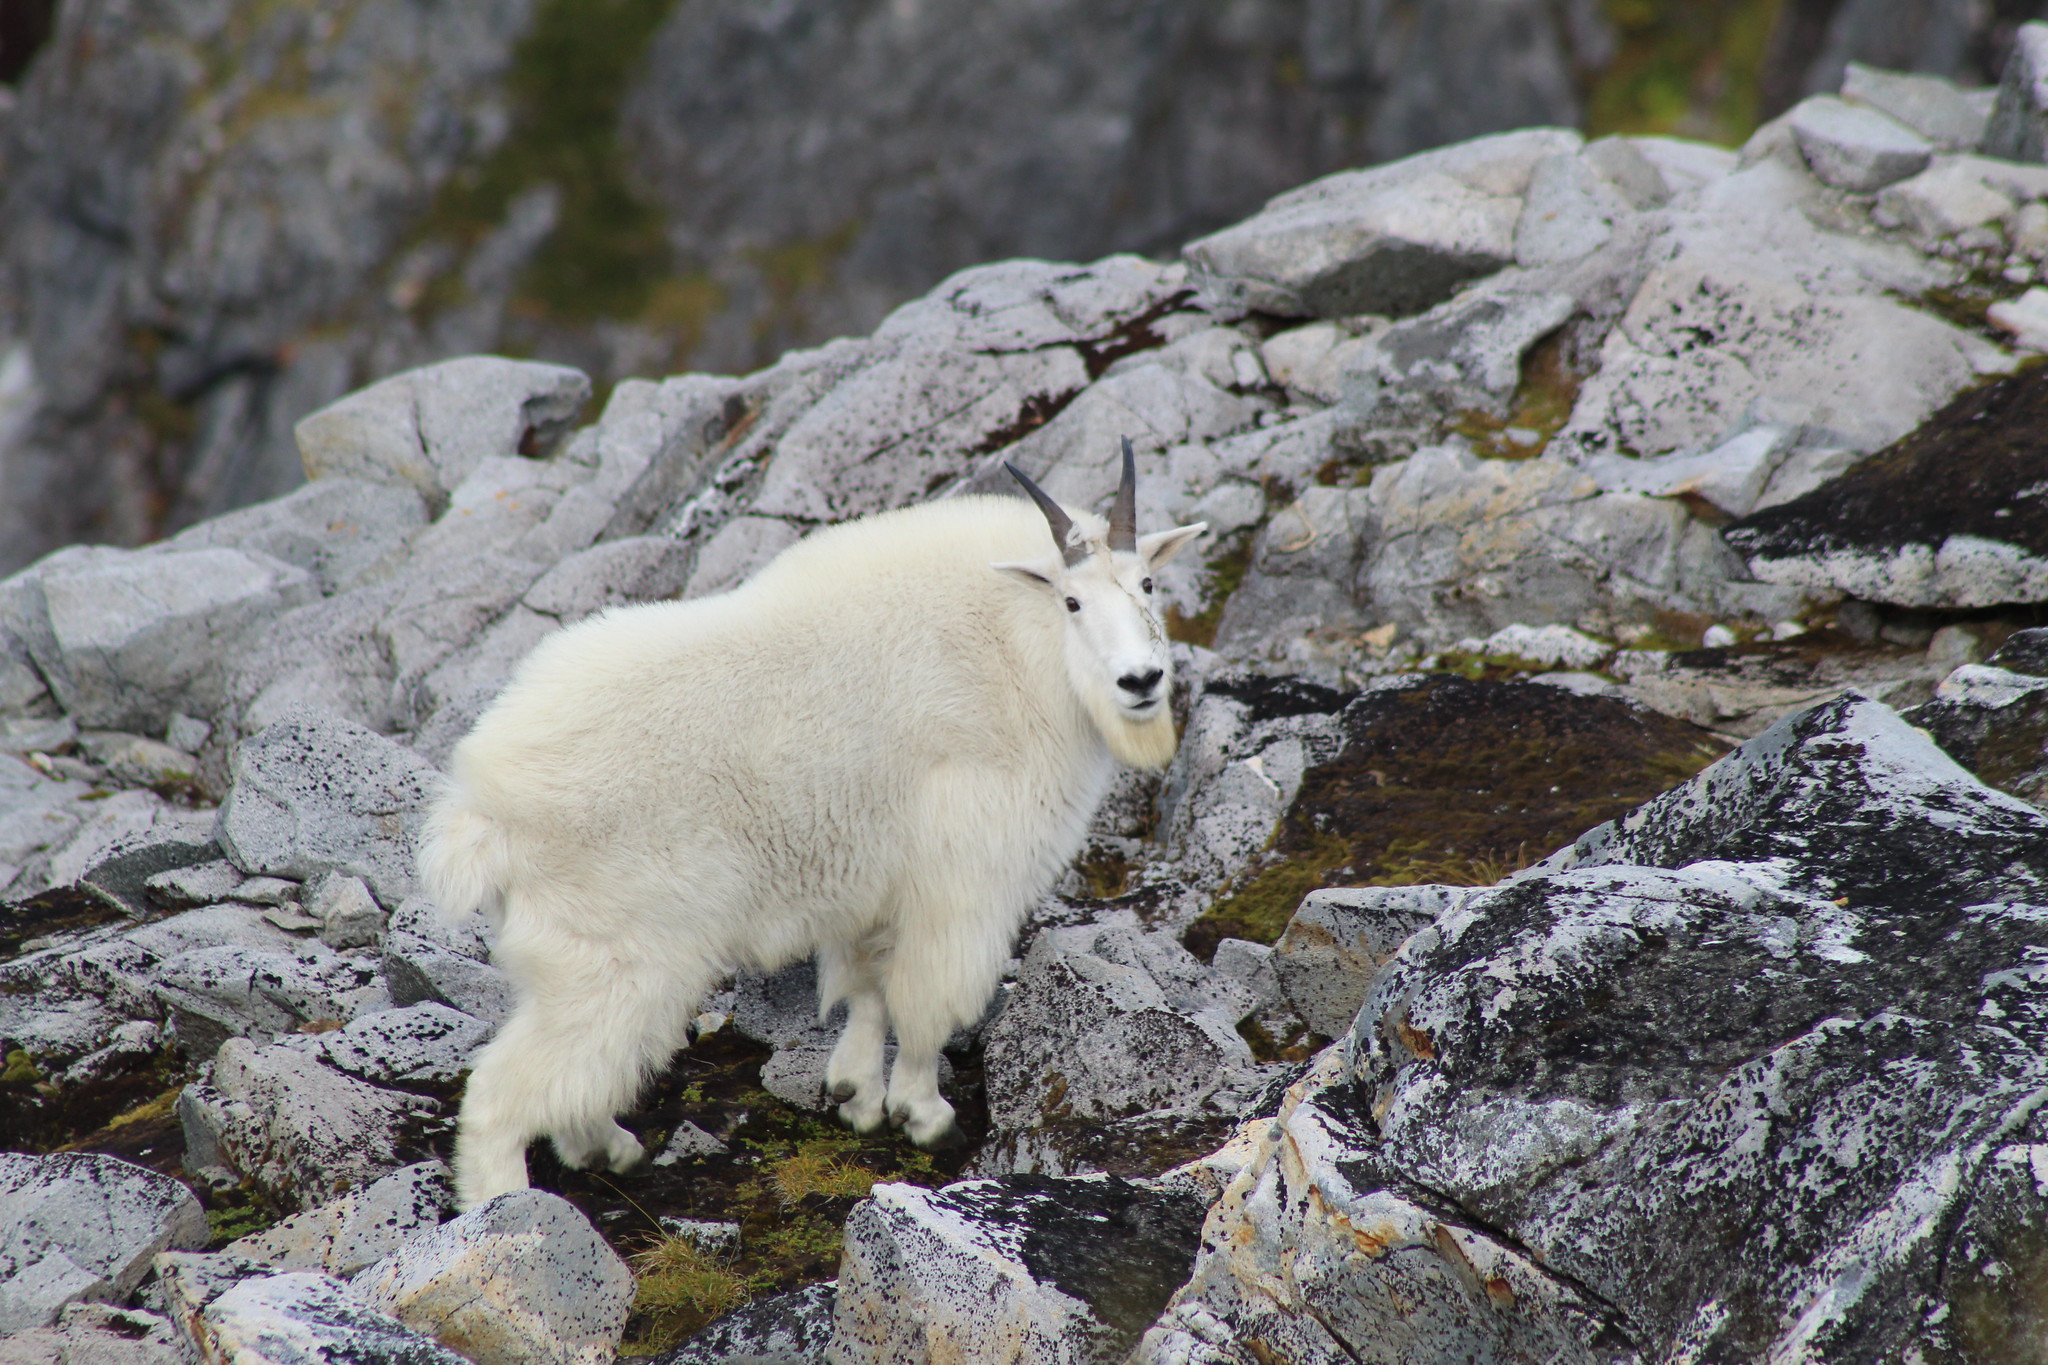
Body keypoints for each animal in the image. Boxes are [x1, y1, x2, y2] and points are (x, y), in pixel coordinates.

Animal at [423, 446, 1204, 1203]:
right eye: (1072, 600)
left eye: (1148, 585)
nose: (1141, 682)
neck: (1016, 646)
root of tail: (480, 809)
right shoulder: (963, 878)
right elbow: (924, 1001)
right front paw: (925, 1114)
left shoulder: (870, 880)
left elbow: (865, 985)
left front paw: (855, 1094)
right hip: (615, 957)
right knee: (507, 1092)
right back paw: (510, 1207)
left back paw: (611, 1148)